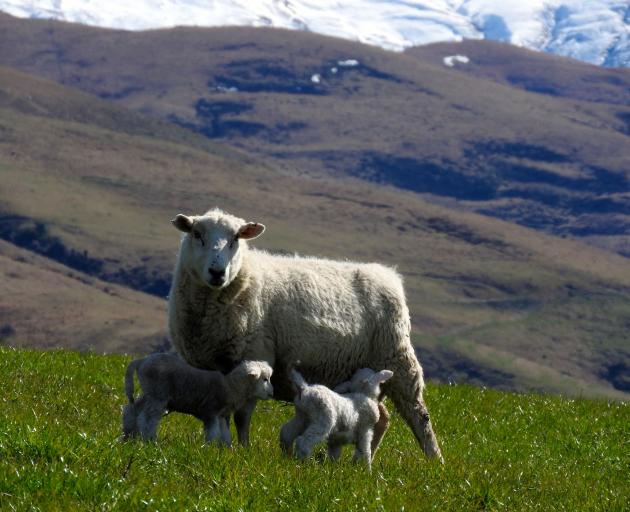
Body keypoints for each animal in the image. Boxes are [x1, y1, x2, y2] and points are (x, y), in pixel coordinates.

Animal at [122, 352, 272, 444]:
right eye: (264, 379)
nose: (271, 393)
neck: (231, 384)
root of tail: (142, 360)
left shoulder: (221, 414)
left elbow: (225, 434)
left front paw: (225, 450)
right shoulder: (211, 411)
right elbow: (213, 433)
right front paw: (210, 449)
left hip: (149, 392)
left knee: (131, 410)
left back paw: (129, 436)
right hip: (158, 395)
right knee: (147, 418)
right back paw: (149, 439)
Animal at [168, 206, 444, 462]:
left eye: (236, 238)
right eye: (196, 234)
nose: (218, 272)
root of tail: (389, 275)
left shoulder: (256, 354)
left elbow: (242, 416)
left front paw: (243, 449)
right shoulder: (214, 368)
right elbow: (224, 411)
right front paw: (221, 446)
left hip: (396, 357)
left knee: (418, 414)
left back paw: (434, 460)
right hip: (370, 372)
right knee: (382, 417)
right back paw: (367, 456)